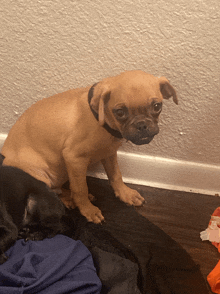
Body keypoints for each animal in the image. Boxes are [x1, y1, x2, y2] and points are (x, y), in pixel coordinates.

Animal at [1, 70, 178, 223]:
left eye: (157, 106)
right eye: (120, 112)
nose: (142, 125)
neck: (102, 120)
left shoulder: (109, 153)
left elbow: (116, 175)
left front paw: (124, 193)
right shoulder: (74, 158)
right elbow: (81, 189)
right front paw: (88, 210)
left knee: (58, 189)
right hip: (40, 175)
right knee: (50, 191)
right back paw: (70, 199)